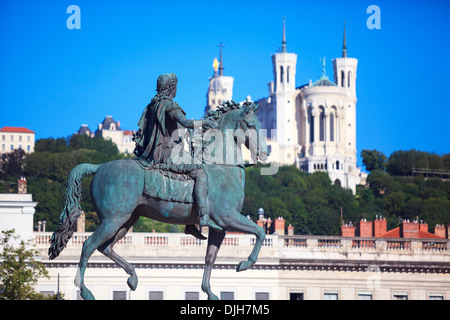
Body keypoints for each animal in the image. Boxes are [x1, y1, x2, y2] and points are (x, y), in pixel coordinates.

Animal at [48, 100, 270, 300]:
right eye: (251, 125)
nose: (266, 152)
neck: (221, 166)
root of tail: (100, 166)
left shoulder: (220, 228)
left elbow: (210, 259)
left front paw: (209, 292)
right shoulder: (227, 217)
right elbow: (260, 232)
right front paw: (245, 264)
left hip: (125, 220)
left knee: (105, 247)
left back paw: (133, 277)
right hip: (113, 220)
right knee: (88, 246)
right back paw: (85, 290)